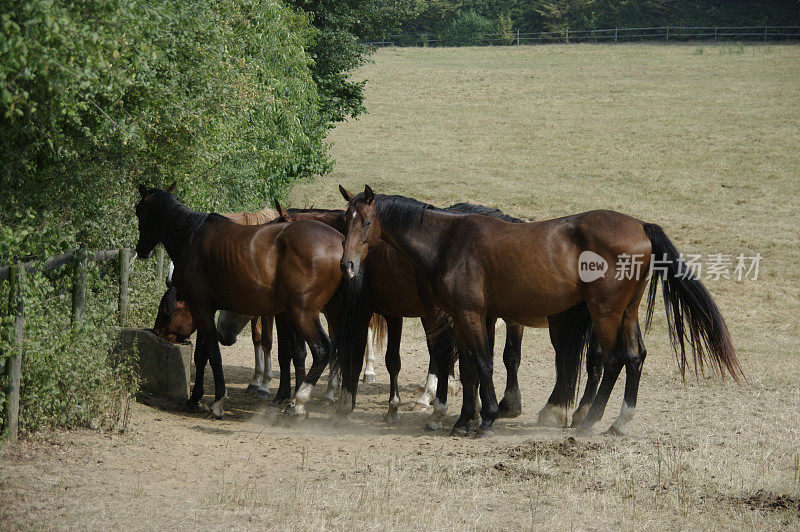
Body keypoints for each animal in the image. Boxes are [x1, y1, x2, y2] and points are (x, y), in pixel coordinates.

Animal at [134, 185, 346, 418]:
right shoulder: (208, 310)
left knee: (323, 349)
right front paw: (194, 398)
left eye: (138, 212)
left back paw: (300, 402)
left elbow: (214, 355)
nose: (141, 249)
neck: (191, 238)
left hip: (303, 314)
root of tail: (339, 242)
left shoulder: (201, 309)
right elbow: (202, 356)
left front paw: (218, 401)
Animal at [332, 186, 744, 436]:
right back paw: (618, 422)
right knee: (635, 357)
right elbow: (468, 370)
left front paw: (487, 418)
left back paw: (588, 420)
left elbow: (483, 365)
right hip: (625, 313)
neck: (448, 240)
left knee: (612, 360)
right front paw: (463, 420)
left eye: (366, 222)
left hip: (605, 313)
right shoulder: (469, 318)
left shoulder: (470, 315)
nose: (347, 265)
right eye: (345, 222)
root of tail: (640, 226)